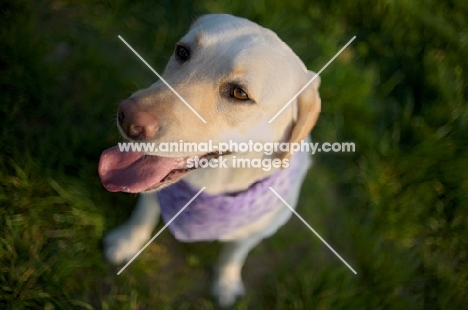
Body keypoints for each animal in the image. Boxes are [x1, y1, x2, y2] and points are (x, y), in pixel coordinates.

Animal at [97, 13, 320, 306]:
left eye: (239, 93)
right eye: (182, 52)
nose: (127, 117)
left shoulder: (255, 233)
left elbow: (233, 255)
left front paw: (226, 283)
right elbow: (142, 215)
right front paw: (127, 241)